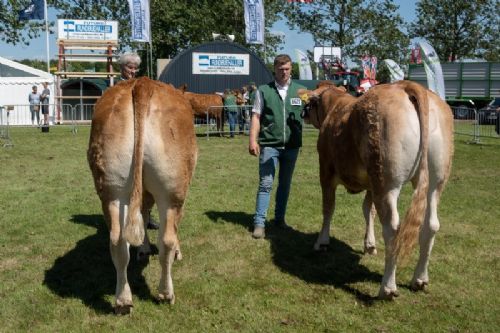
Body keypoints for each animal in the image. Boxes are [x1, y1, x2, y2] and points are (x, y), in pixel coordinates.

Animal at [88, 76, 197, 312]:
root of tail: (142, 83)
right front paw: (177, 252)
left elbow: (144, 215)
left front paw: (143, 250)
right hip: (173, 192)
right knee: (167, 240)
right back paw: (166, 293)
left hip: (112, 190)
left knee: (118, 242)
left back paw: (123, 300)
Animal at [298, 80, 456, 298]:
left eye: (311, 103)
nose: (302, 114)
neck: (335, 107)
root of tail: (408, 85)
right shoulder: (371, 185)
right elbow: (368, 210)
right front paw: (369, 245)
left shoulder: (326, 171)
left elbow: (328, 208)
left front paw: (321, 242)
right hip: (435, 180)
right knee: (431, 225)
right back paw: (419, 279)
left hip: (387, 181)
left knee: (392, 227)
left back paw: (387, 287)